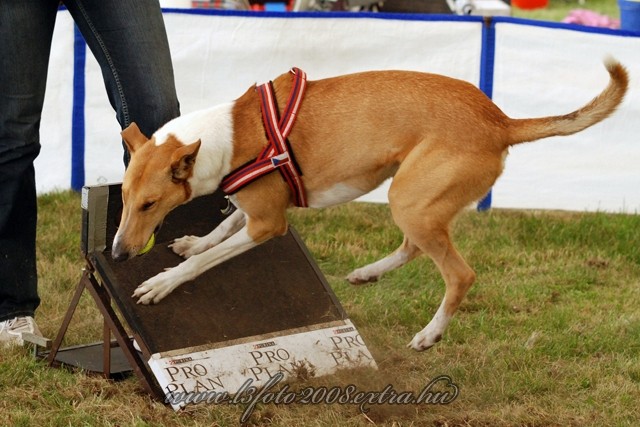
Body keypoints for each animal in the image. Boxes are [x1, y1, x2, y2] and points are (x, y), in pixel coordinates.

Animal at [112, 59, 628, 352]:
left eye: (150, 204)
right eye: (124, 198)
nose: (117, 254)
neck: (234, 134)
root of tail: (500, 121)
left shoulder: (270, 224)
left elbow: (209, 259)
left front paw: (161, 283)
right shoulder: (258, 207)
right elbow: (220, 232)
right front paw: (194, 242)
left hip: (410, 199)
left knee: (459, 274)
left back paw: (429, 335)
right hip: (417, 200)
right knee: (416, 247)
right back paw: (368, 274)